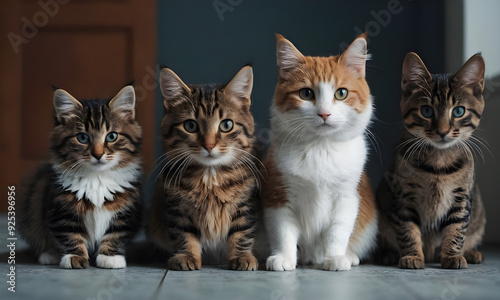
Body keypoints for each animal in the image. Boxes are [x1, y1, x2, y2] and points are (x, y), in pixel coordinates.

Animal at [18, 85, 142, 270]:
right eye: (82, 137)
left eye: (111, 136)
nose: (98, 154)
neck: (96, 179)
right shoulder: (61, 210)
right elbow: (71, 235)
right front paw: (74, 257)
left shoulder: (126, 211)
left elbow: (115, 234)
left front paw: (110, 257)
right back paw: (49, 254)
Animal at [147, 66, 258, 272]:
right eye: (190, 125)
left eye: (226, 125)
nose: (209, 145)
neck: (210, 175)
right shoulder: (177, 208)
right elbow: (184, 234)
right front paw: (187, 256)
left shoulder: (245, 204)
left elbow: (241, 232)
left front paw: (241, 256)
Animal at [264, 34, 376, 272]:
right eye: (306, 93)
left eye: (341, 93)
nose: (324, 113)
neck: (320, 148)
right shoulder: (277, 195)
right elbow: (282, 230)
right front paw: (283, 258)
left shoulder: (346, 196)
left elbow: (338, 231)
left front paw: (335, 258)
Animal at [376, 52, 486, 270]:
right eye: (426, 111)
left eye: (458, 111)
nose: (442, 131)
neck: (438, 164)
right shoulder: (403, 199)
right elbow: (408, 231)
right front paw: (413, 256)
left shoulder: (461, 199)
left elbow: (456, 230)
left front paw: (452, 255)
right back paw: (388, 255)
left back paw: (471, 253)